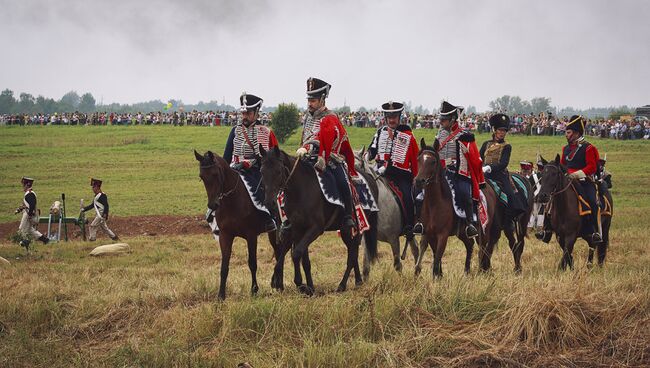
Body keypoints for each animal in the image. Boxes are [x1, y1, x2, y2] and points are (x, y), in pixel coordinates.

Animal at [194, 150, 288, 300]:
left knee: (280, 253)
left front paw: (254, 290)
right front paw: (221, 295)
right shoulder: (225, 236)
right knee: (279, 252)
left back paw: (279, 285)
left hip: (275, 231)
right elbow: (224, 266)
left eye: (215, 174)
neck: (233, 201)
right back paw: (278, 284)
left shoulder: (251, 236)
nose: (213, 205)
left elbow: (252, 263)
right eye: (202, 176)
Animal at [256, 145, 372, 294]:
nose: (269, 202)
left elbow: (296, 254)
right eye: (262, 171)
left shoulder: (315, 229)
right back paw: (357, 281)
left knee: (352, 255)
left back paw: (342, 285)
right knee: (353, 252)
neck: (300, 190)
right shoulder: (298, 228)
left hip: (353, 229)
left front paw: (302, 285)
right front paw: (307, 286)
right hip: (346, 231)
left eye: (278, 171)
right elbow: (303, 259)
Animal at [352, 146, 418, 276]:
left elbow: (398, 265)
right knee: (415, 249)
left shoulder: (394, 239)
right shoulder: (366, 240)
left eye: (359, 166)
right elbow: (365, 268)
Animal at [410, 139, 496, 278]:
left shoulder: (442, 235)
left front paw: (436, 277)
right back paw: (466, 271)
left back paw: (481, 271)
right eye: (419, 160)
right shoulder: (429, 234)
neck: (434, 204)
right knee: (470, 245)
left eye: (433, 161)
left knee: (483, 249)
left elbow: (437, 259)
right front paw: (439, 276)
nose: (418, 181)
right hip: (462, 232)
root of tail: (489, 188)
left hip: (484, 230)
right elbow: (435, 256)